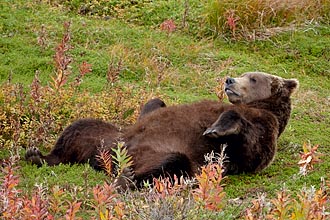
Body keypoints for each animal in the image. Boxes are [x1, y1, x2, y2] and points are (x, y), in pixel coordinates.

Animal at [25, 72, 300, 189]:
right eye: (243, 73)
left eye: (253, 78)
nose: (229, 80)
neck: (257, 106)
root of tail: (103, 160)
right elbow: (154, 105)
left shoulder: (264, 127)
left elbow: (250, 148)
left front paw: (214, 128)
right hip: (105, 135)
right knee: (78, 129)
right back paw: (36, 155)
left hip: (172, 156)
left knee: (169, 164)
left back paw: (126, 179)